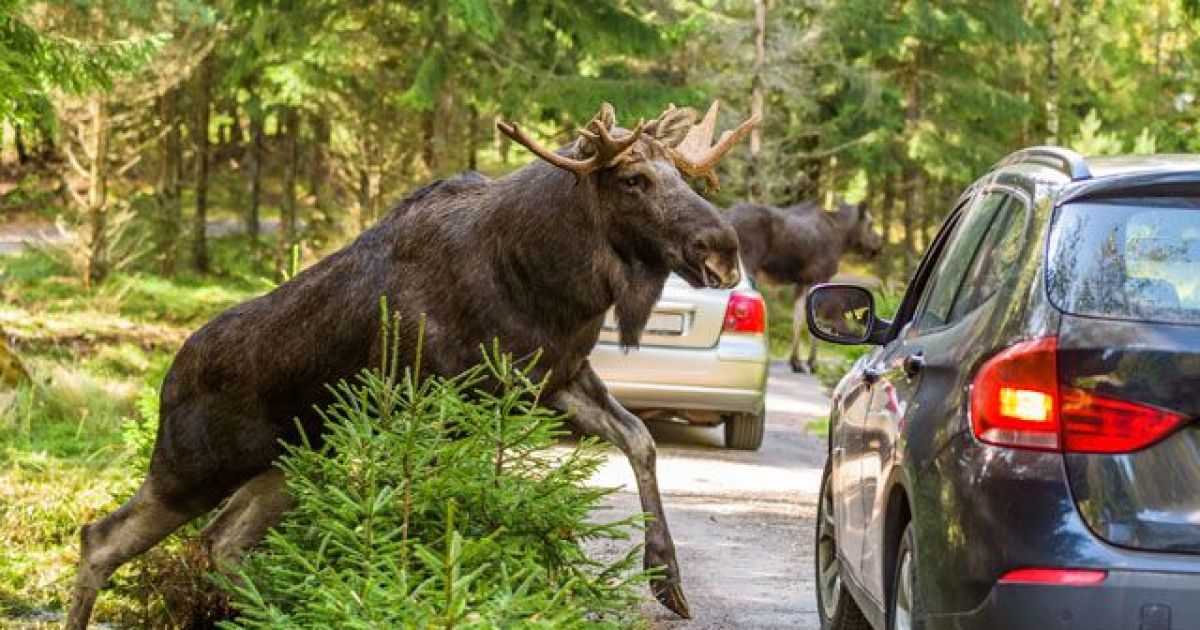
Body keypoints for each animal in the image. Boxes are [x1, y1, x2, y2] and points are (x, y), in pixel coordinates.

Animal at [65, 101, 758, 628]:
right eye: (633, 181)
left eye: (686, 178)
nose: (723, 251)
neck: (547, 282)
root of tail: (165, 381)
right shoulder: (439, 401)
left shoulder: (553, 378)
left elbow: (641, 440)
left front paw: (666, 576)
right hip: (195, 467)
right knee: (101, 539)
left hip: (286, 463)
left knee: (221, 540)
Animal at [728, 199, 882, 373]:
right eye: (871, 223)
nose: (879, 245)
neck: (842, 239)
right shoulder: (820, 277)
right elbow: (814, 319)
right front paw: (812, 362)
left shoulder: (802, 281)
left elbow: (799, 318)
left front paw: (795, 362)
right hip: (746, 264)